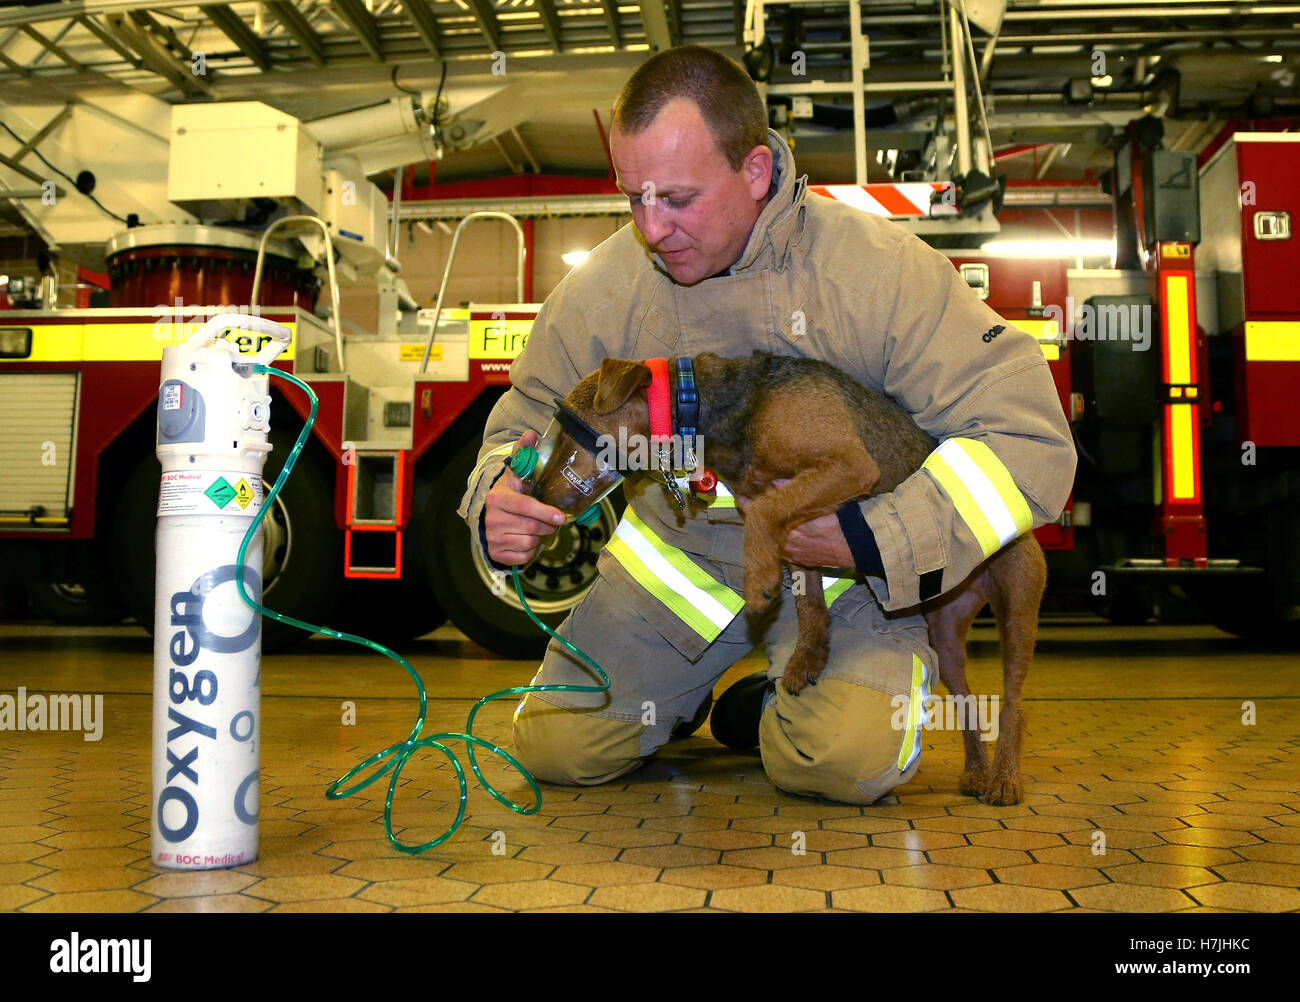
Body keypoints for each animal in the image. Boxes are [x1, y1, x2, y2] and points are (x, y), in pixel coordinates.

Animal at [559, 353, 1045, 805]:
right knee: (967, 705)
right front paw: (808, 657)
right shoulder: (798, 523)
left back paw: (1004, 779)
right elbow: (808, 599)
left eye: (571, 421)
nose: (543, 487)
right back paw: (977, 772)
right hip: (945, 637)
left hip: (1017, 613)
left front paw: (759, 582)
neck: (728, 402)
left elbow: (762, 516)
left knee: (1014, 705)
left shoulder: (845, 467)